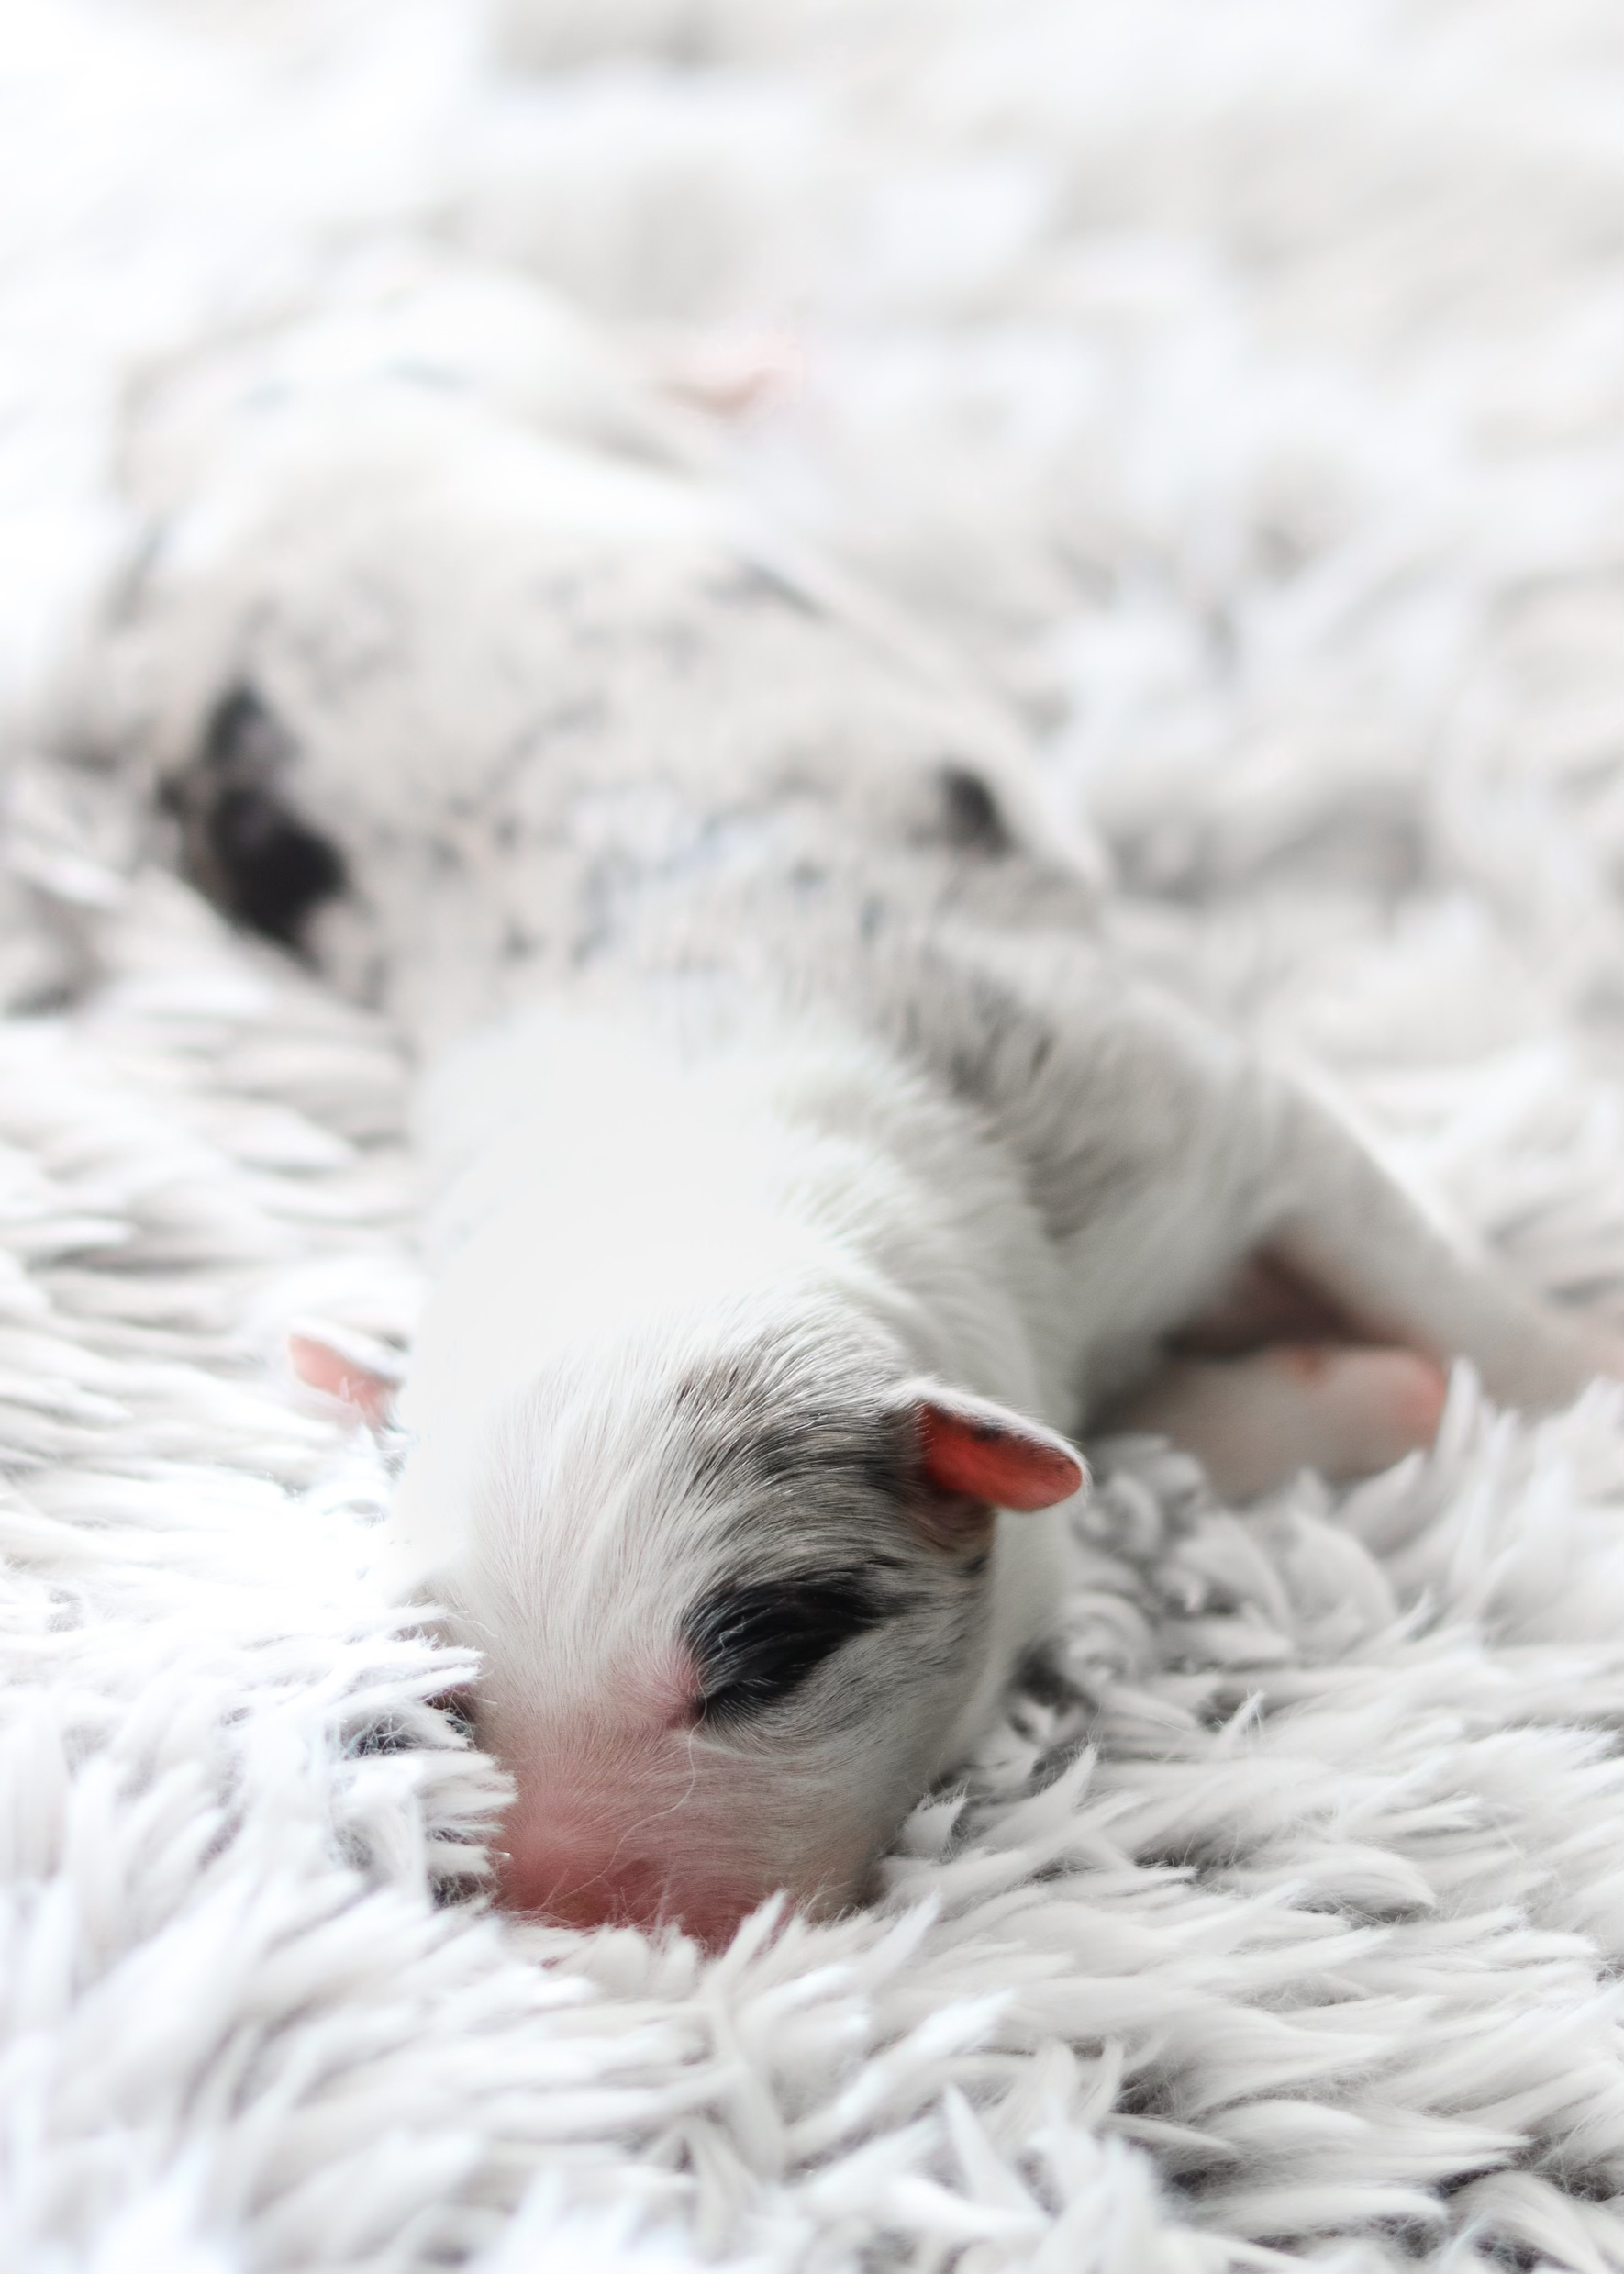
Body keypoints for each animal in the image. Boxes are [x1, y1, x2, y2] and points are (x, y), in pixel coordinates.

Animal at [90, 277, 1616, 1947]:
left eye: (765, 1657)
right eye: (446, 1675)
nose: (575, 1932)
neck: (700, 1157)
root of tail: (243, 393)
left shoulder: (1181, 1106)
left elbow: (1434, 1276)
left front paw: (1572, 1367)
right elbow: (1122, 1459)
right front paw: (1371, 1393)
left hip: (518, 361)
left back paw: (750, 369)